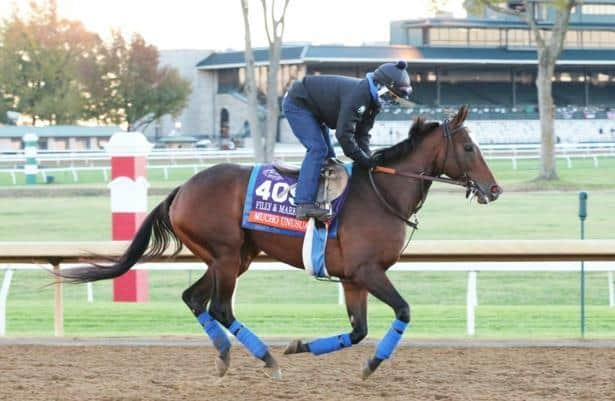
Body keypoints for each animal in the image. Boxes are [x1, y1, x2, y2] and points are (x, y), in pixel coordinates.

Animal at [65, 105, 502, 378]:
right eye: (468, 147)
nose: (494, 189)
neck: (383, 193)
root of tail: (181, 189)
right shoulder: (368, 271)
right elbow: (404, 312)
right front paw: (370, 365)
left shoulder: (352, 279)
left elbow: (358, 331)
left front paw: (301, 346)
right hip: (225, 257)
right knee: (220, 307)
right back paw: (267, 359)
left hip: (231, 258)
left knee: (194, 299)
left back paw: (226, 356)